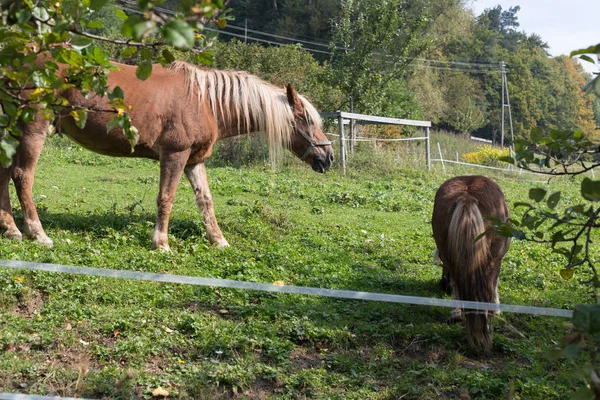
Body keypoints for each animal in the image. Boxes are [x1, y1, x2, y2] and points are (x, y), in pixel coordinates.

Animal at [0, 55, 332, 250]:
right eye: (306, 119)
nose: (327, 157)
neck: (206, 102)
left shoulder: (194, 161)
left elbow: (205, 201)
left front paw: (218, 240)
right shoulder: (175, 155)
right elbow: (166, 197)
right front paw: (161, 242)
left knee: (3, 175)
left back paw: (11, 230)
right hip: (33, 131)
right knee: (22, 176)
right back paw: (37, 233)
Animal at [432, 177, 510, 352]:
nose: (442, 285)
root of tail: (467, 196)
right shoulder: (498, 260)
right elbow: (495, 284)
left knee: (458, 283)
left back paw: (458, 313)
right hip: (492, 261)